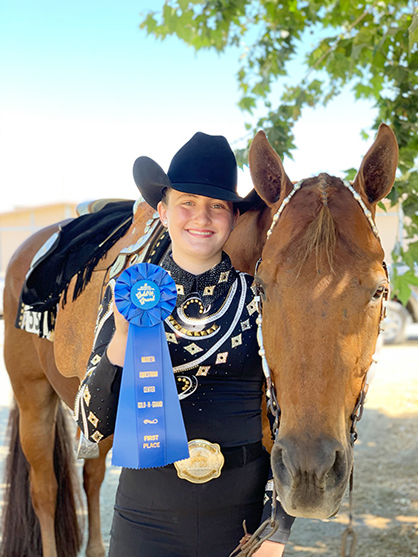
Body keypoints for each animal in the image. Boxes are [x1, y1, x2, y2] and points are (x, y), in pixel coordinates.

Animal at [0, 122, 398, 556]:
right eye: (261, 287)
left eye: (379, 290)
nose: (311, 473)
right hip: (33, 397)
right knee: (45, 491)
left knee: (91, 475)